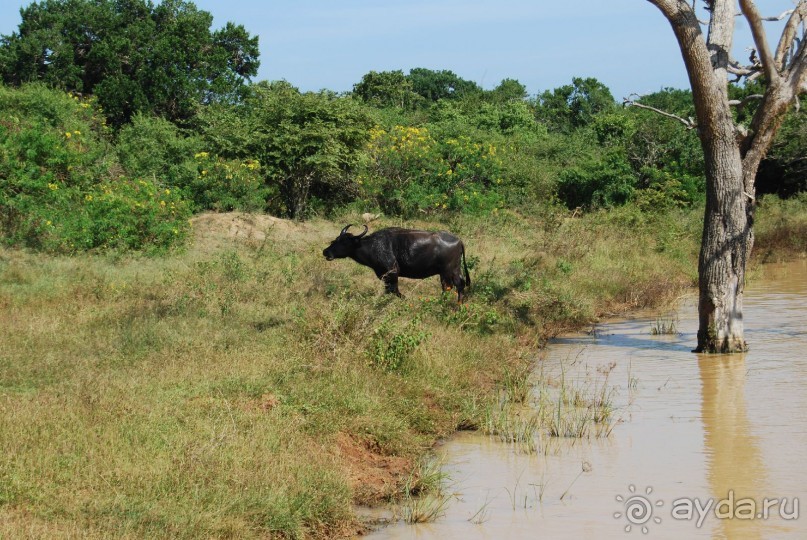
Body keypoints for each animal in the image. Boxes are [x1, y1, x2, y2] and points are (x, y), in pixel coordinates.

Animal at [324, 223, 474, 302]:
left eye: (345, 242)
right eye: (336, 239)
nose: (326, 252)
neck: (373, 245)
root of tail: (458, 240)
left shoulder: (393, 272)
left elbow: (395, 290)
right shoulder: (384, 276)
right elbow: (388, 290)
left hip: (451, 270)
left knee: (459, 285)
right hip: (446, 273)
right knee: (447, 287)